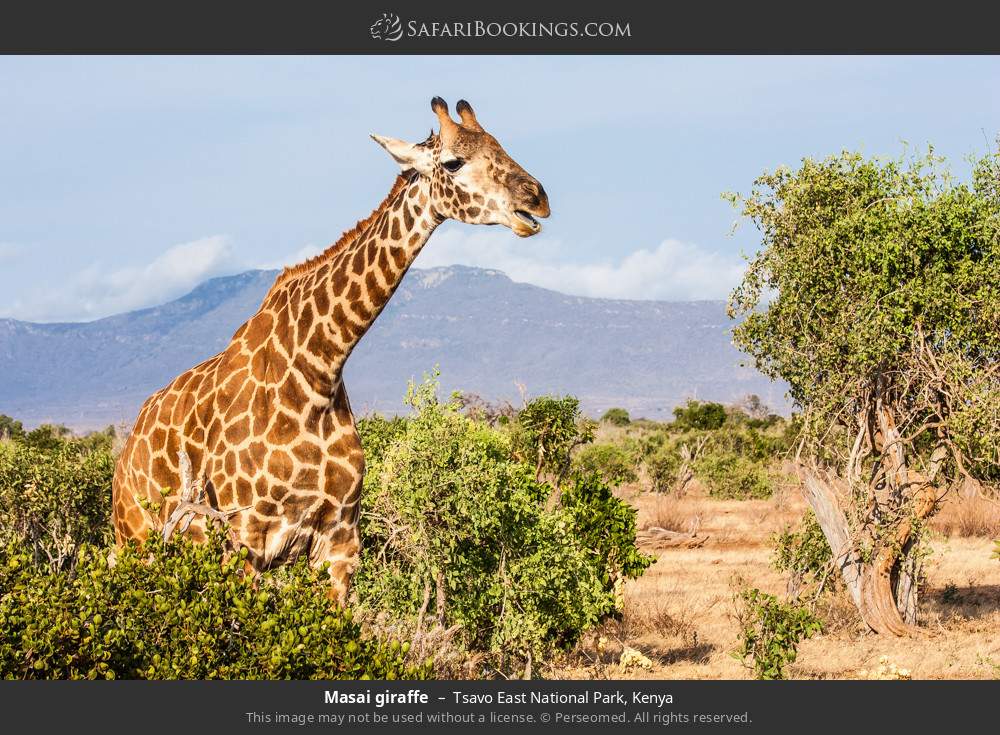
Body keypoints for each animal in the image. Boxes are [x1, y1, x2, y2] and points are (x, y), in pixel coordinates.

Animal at [113, 96, 552, 604]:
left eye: (500, 144)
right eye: (453, 162)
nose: (537, 197)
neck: (320, 367)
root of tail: (126, 450)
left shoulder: (340, 539)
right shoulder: (243, 539)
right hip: (136, 541)